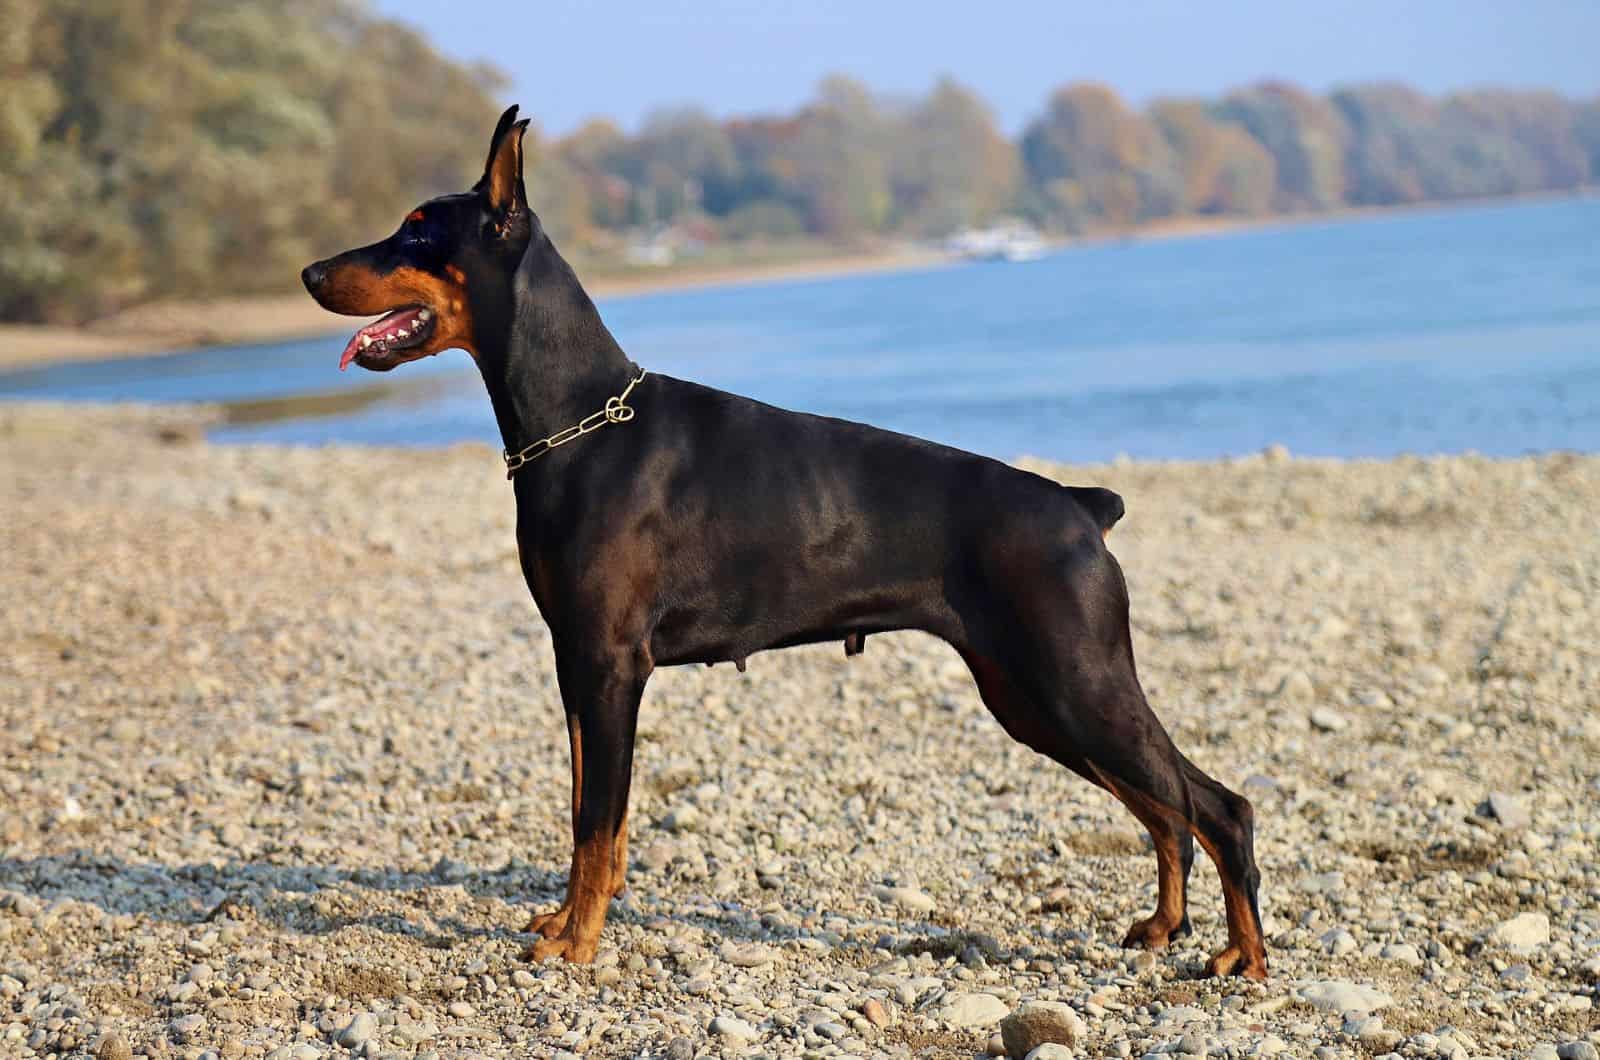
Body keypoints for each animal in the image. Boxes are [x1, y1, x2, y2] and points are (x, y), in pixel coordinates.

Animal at [302, 105, 1260, 979]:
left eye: (419, 230)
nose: (310, 269)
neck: (580, 420)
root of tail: (1080, 507)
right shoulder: (576, 663)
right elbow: (586, 812)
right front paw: (565, 921)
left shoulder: (610, 664)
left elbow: (596, 823)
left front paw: (577, 945)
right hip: (1031, 698)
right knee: (1166, 809)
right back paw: (1164, 927)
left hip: (1074, 679)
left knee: (1216, 806)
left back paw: (1241, 957)